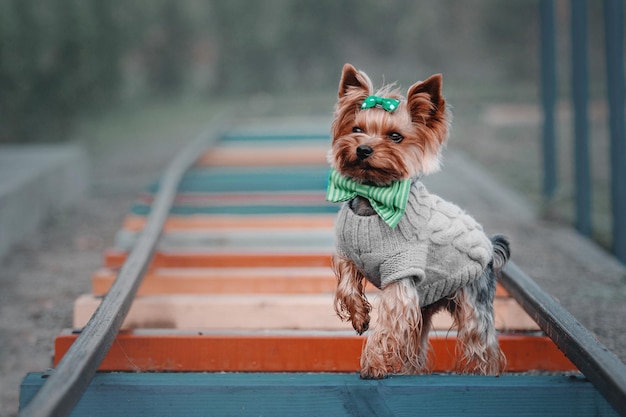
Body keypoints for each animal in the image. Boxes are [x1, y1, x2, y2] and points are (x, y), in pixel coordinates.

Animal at [324, 63, 510, 378]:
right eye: (356, 129)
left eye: (395, 136)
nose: (363, 149)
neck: (372, 199)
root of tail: (489, 245)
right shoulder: (347, 253)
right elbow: (347, 283)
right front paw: (360, 317)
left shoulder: (401, 277)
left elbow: (387, 326)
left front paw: (373, 364)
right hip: (425, 305)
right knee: (414, 341)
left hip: (473, 303)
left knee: (483, 345)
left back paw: (487, 372)